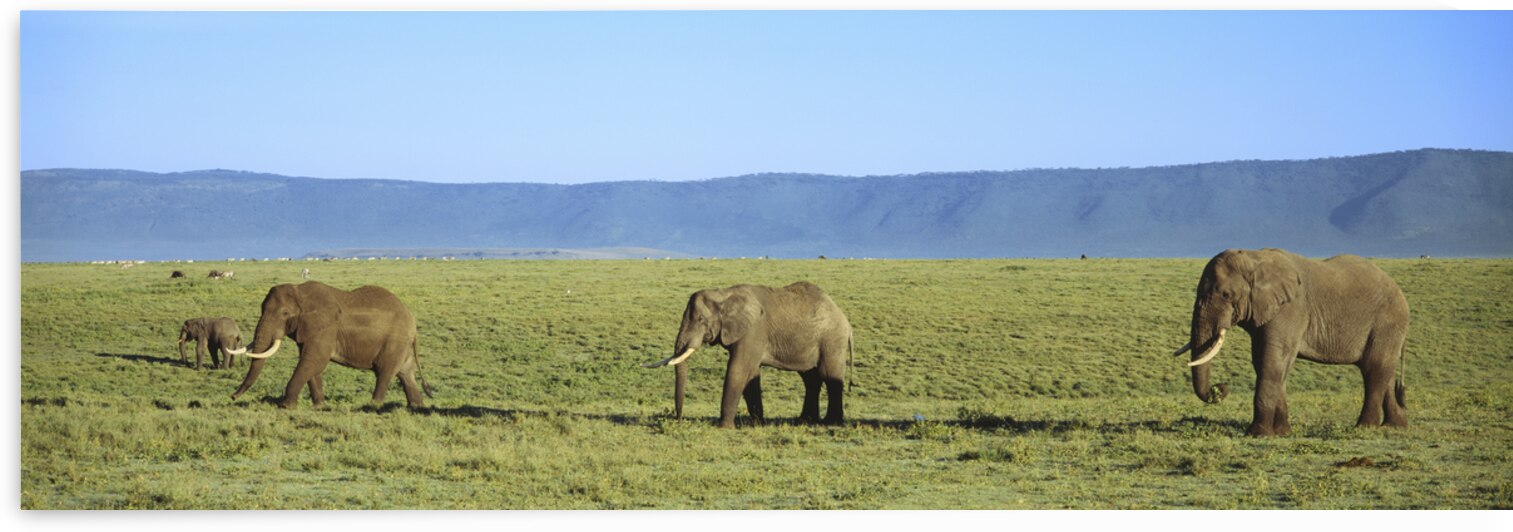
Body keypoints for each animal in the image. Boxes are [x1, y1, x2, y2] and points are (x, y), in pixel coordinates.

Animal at [226, 281, 434, 410]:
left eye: (285, 314)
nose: (232, 397)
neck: (300, 291)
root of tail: (413, 323)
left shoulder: (325, 327)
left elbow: (314, 360)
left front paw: (285, 406)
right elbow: (310, 363)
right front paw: (320, 407)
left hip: (394, 341)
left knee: (384, 374)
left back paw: (373, 406)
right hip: (401, 345)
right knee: (406, 375)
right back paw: (416, 406)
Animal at [643, 282, 853, 428]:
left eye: (701, 319)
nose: (679, 420)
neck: (723, 294)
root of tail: (844, 319)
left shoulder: (753, 331)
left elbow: (739, 370)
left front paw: (724, 427)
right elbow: (751, 374)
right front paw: (757, 424)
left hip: (832, 339)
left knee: (828, 374)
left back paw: (830, 423)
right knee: (811, 379)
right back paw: (805, 420)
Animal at [1172, 248, 1409, 436]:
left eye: (1226, 294)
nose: (1220, 388)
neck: (1253, 258)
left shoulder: (1290, 309)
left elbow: (1273, 361)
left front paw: (1258, 434)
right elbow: (1267, 363)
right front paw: (1283, 432)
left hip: (1387, 323)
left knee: (1374, 370)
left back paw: (1364, 428)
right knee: (1384, 373)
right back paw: (1394, 426)